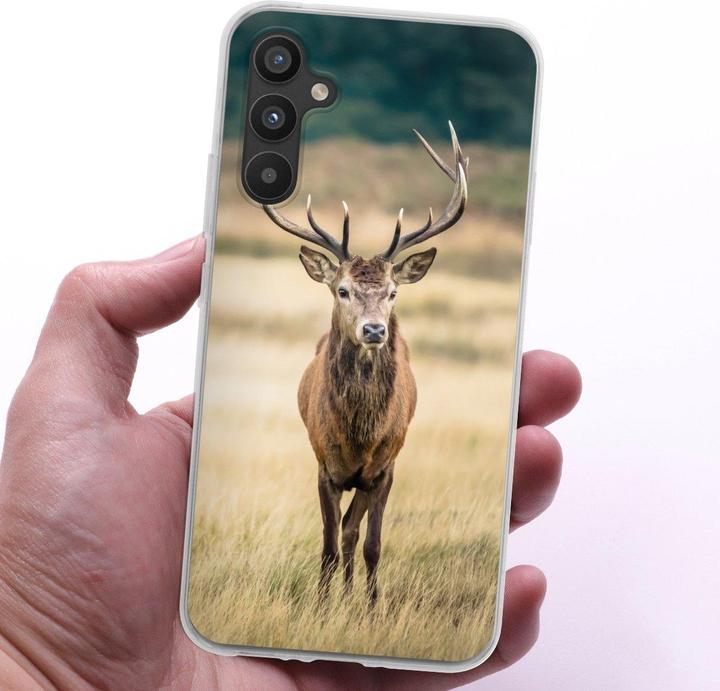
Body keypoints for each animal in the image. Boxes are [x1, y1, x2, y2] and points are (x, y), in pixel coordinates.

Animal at [263, 122, 469, 604]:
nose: (374, 330)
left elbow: (371, 543)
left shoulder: (385, 468)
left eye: (393, 292)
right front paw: (321, 607)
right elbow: (327, 544)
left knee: (353, 532)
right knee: (341, 533)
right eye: (342, 290)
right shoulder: (324, 464)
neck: (360, 434)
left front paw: (373, 608)